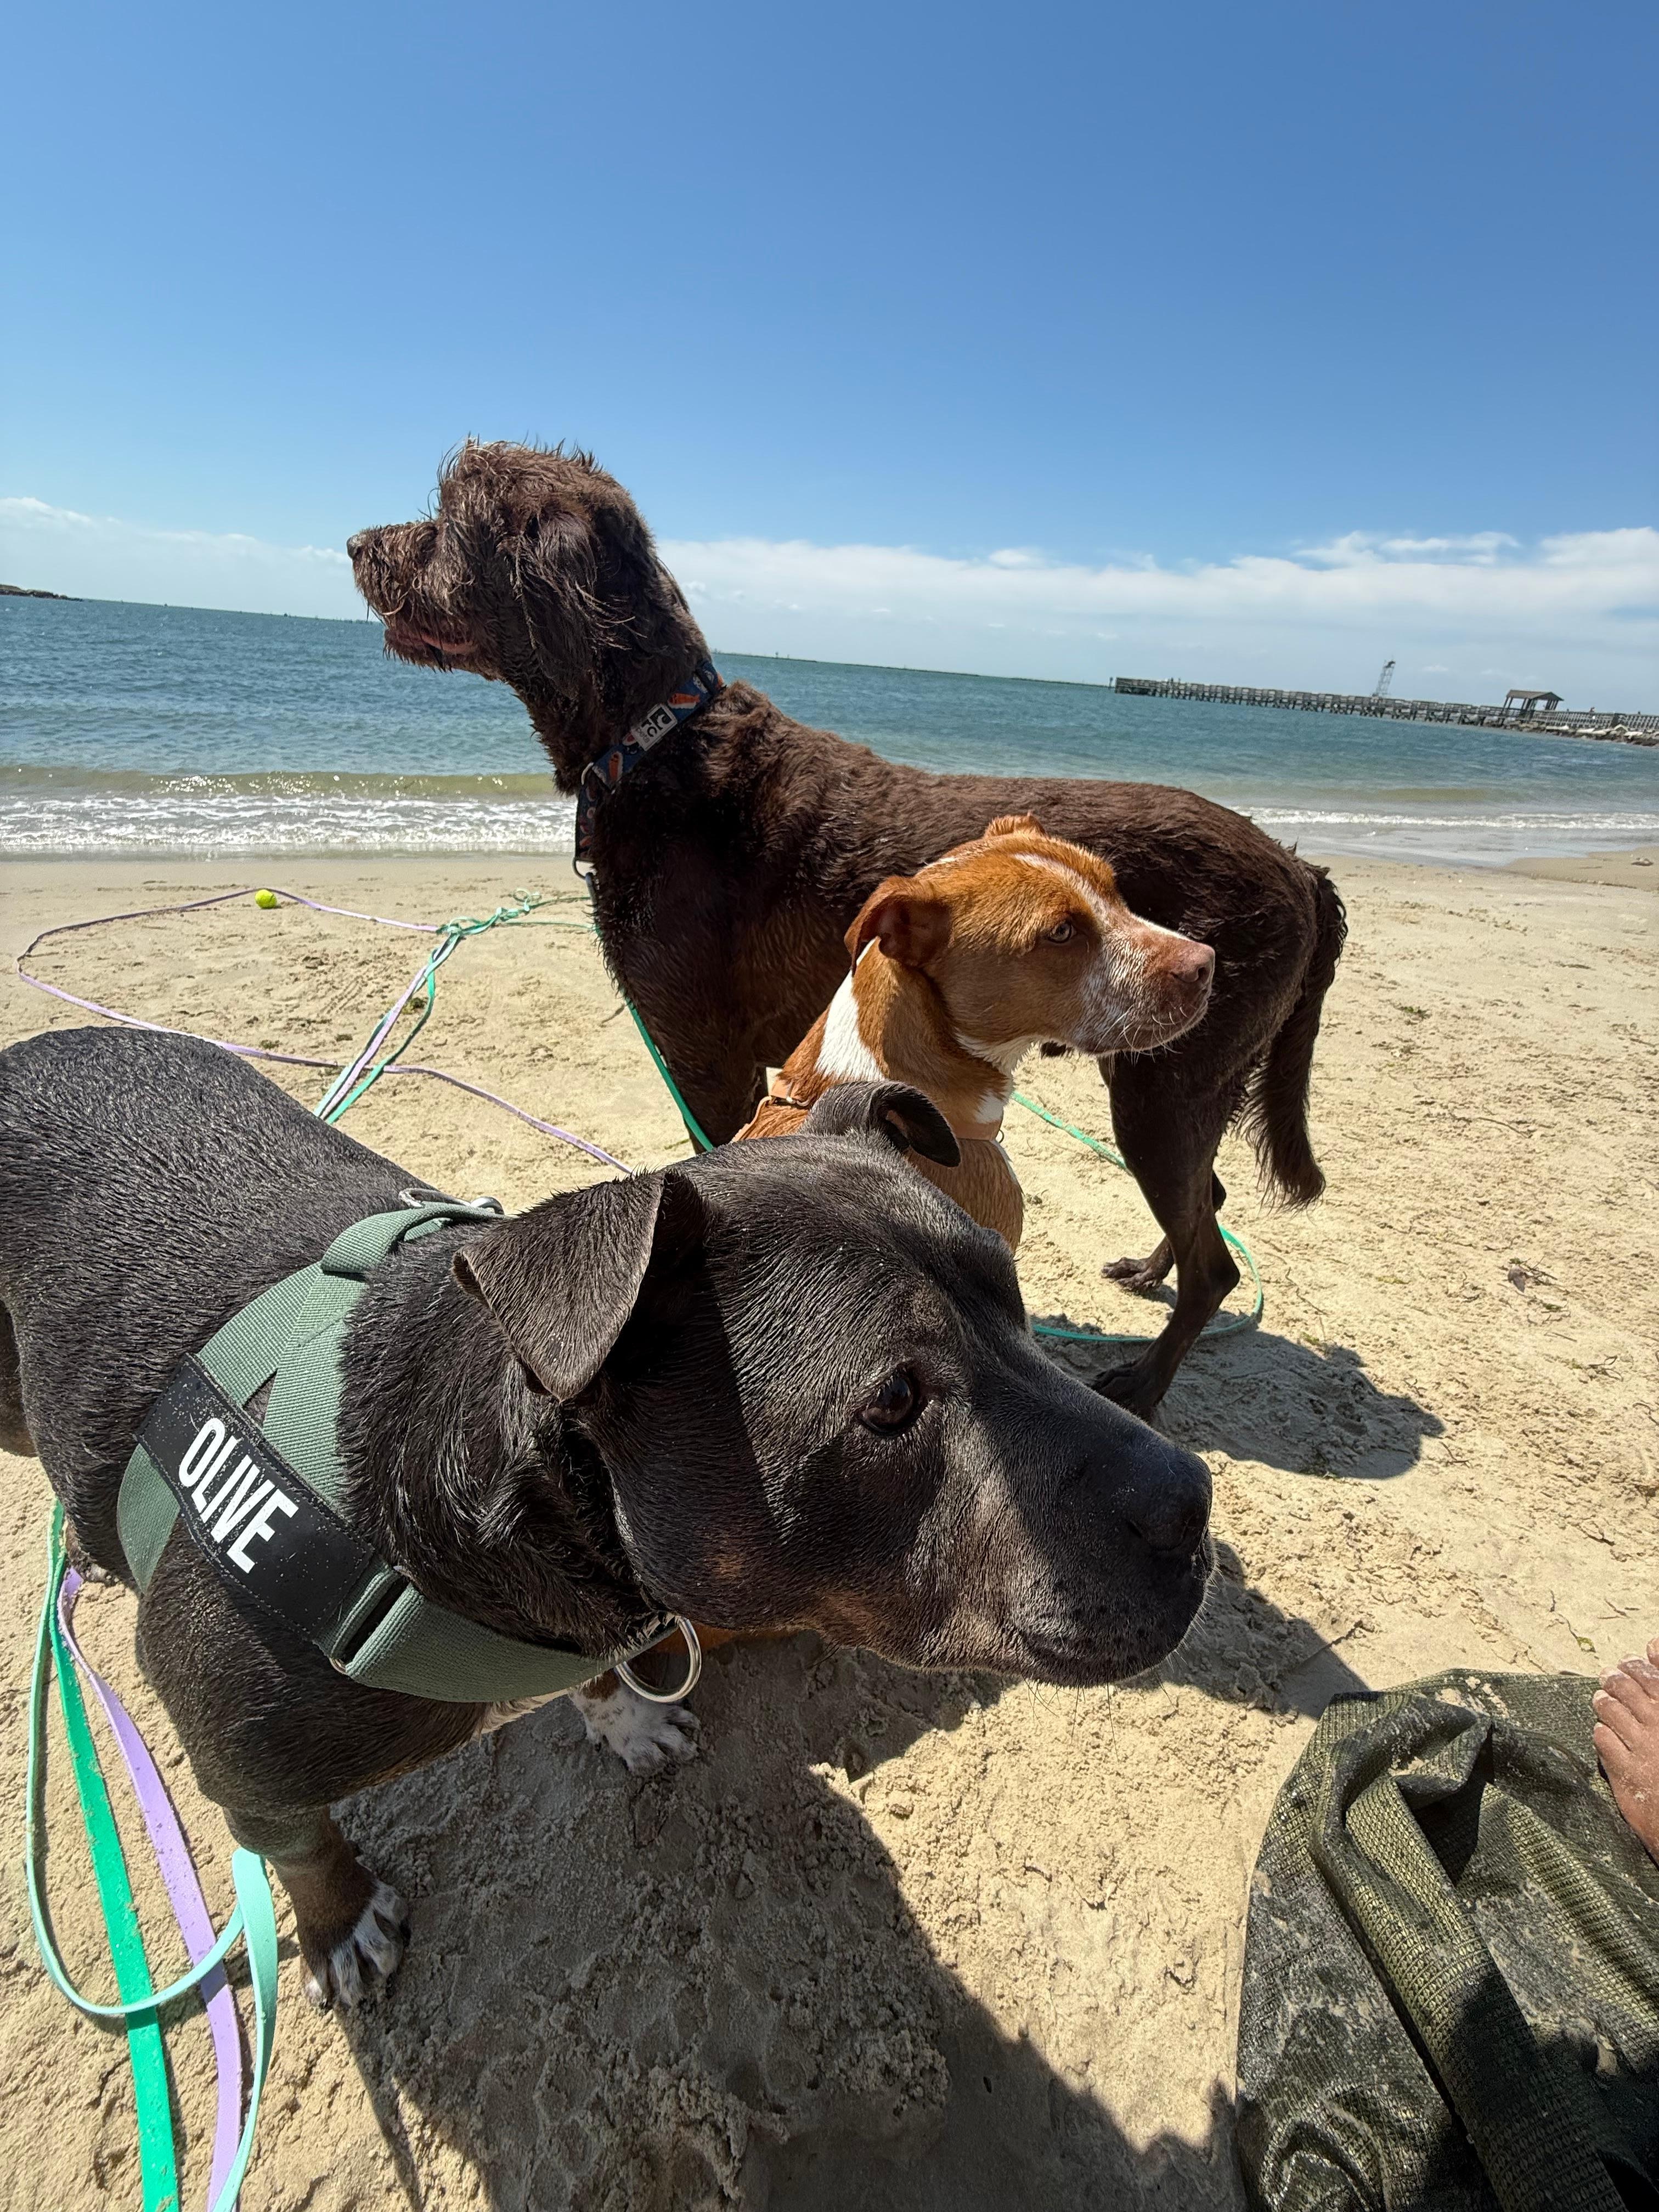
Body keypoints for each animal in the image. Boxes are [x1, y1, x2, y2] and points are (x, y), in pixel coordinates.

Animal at [0, 1028, 1212, 2007]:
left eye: (1016, 1301)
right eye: (891, 1403)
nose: (1192, 1500)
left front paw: (622, 1714)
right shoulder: (247, 1774)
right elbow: (300, 1850)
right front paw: (337, 1922)